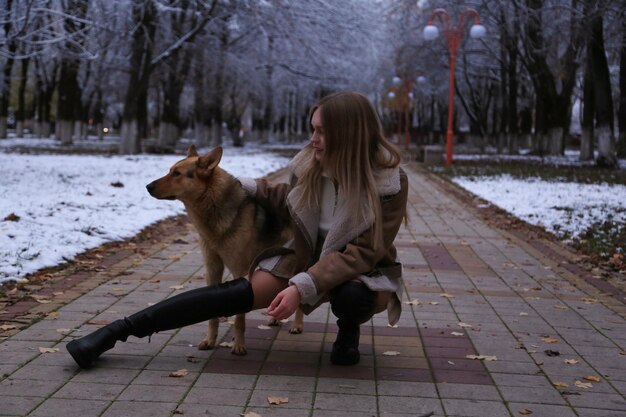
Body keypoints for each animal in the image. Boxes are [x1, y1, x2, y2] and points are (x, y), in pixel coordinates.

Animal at [146, 145, 302, 352]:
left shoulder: (239, 271)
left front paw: (239, 345)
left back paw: (297, 325)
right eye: (169, 170)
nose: (147, 186)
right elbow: (212, 314)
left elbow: (239, 318)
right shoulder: (212, 268)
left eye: (177, 174)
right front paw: (210, 340)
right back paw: (276, 318)